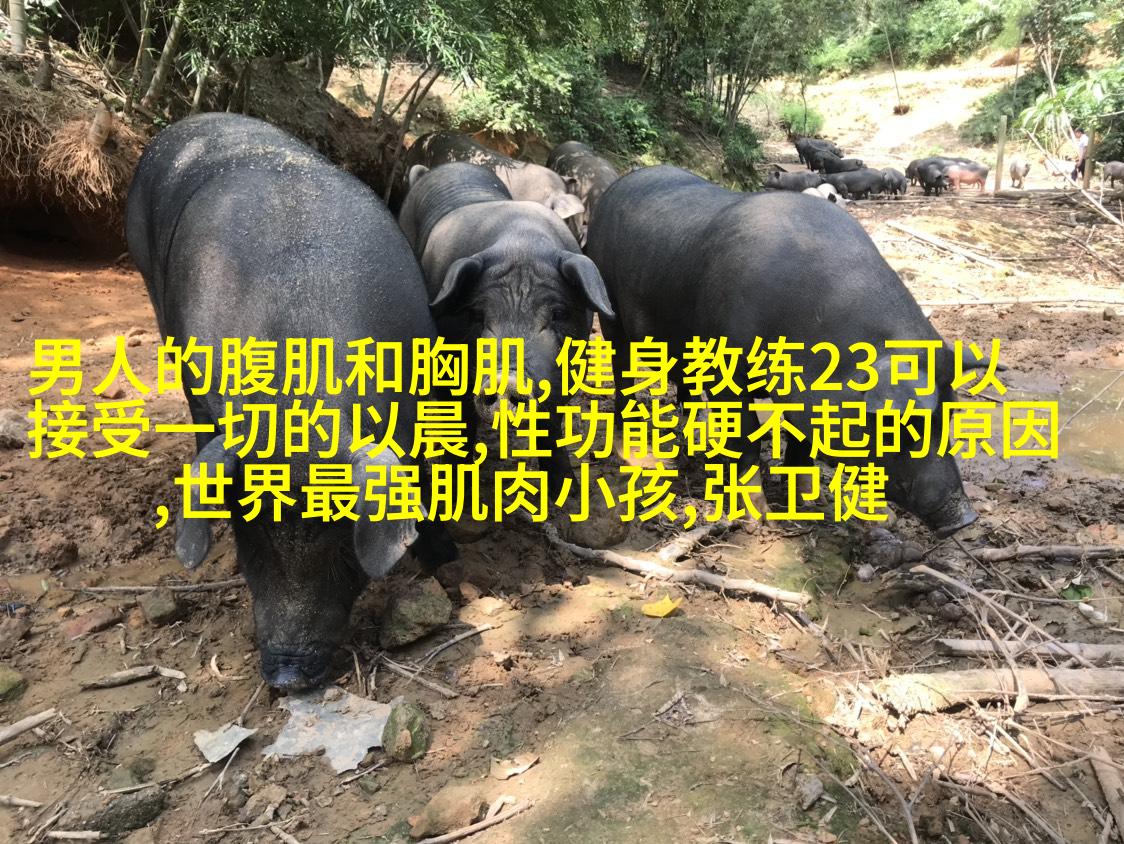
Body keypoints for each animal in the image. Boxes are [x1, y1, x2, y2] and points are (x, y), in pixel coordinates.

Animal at [398, 162, 614, 490]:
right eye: (477, 314)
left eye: (558, 314)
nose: (507, 380)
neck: (520, 245)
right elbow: (462, 422)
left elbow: (552, 426)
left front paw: (568, 489)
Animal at [585, 166, 980, 537]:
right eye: (896, 424)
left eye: (950, 415)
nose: (965, 517)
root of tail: (615, 188)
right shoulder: (728, 373)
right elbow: (747, 438)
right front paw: (759, 519)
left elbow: (803, 445)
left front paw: (810, 503)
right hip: (610, 310)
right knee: (623, 376)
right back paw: (640, 453)